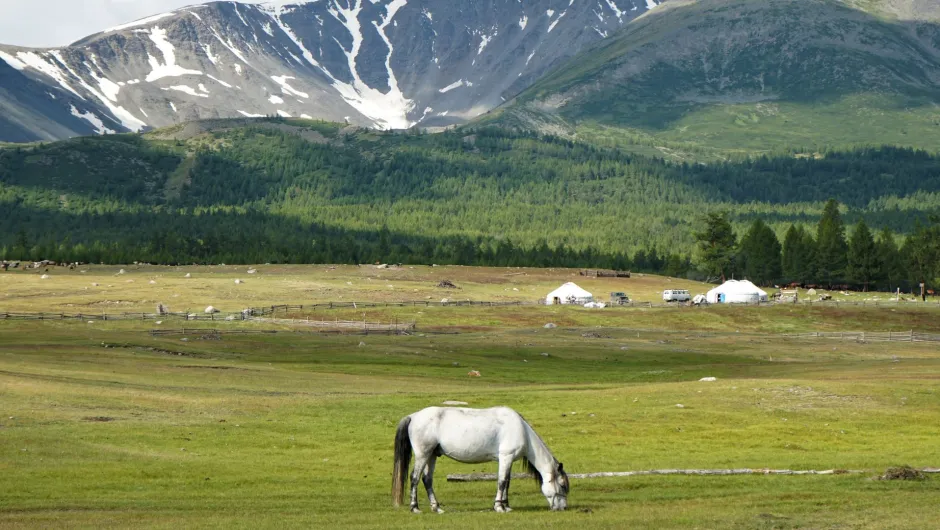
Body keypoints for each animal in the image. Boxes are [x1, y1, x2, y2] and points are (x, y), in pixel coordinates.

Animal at [392, 404, 568, 512]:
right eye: (563, 486)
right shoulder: (506, 457)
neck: (521, 429)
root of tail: (413, 416)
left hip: (431, 455)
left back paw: (437, 508)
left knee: (427, 479)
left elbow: (507, 482)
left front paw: (506, 506)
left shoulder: (508, 460)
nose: (563, 508)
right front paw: (499, 507)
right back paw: (415, 508)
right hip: (422, 454)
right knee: (415, 478)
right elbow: (502, 481)